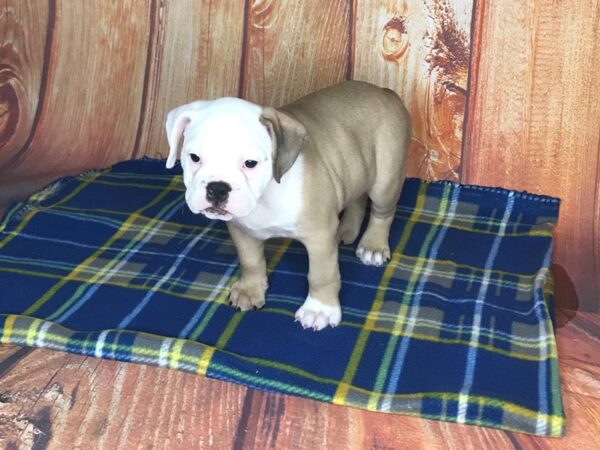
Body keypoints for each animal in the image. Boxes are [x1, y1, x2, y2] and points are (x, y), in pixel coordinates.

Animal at [164, 81, 410, 330]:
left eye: (250, 163)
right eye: (194, 158)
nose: (217, 188)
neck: (265, 196)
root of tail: (383, 91)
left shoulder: (319, 237)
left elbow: (321, 275)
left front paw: (319, 309)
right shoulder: (242, 230)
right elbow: (251, 262)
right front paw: (249, 290)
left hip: (385, 180)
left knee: (382, 213)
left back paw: (373, 246)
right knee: (357, 199)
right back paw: (346, 229)